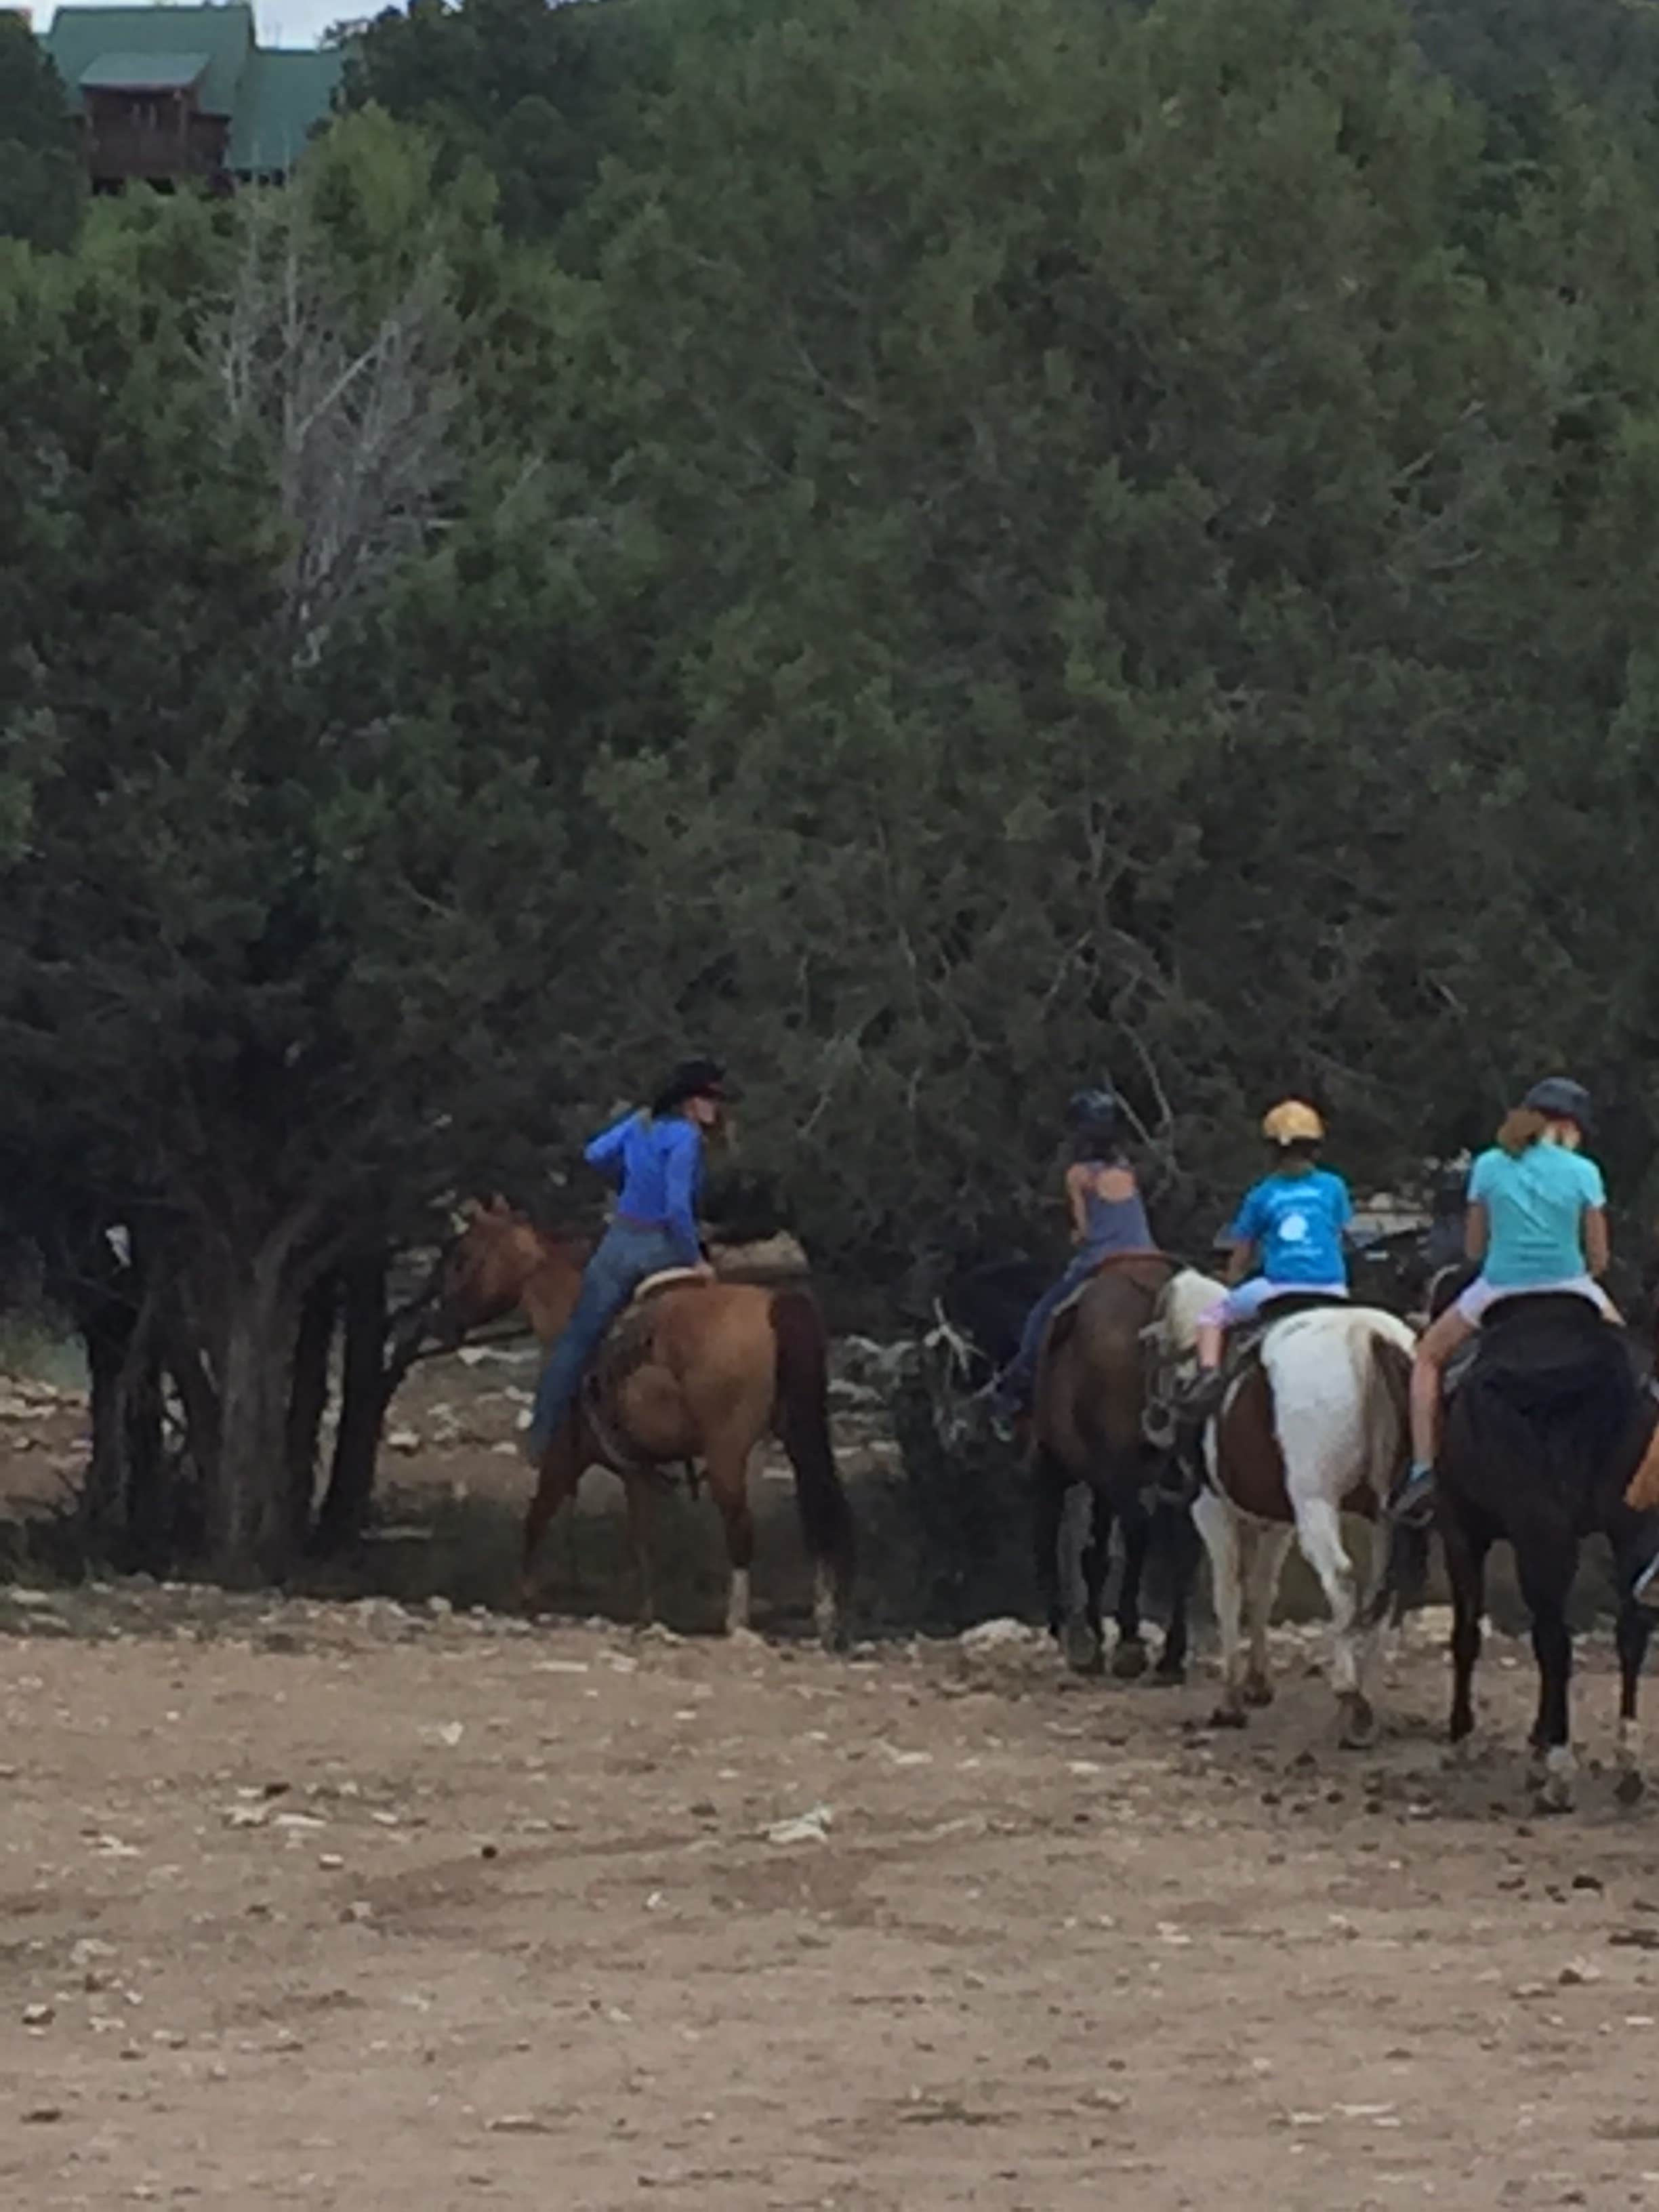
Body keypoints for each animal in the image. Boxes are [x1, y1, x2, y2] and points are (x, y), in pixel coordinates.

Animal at [436, 1200, 856, 1647]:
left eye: (463, 1257)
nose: (444, 1320)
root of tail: (776, 1306)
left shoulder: (564, 1459)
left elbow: (537, 1518)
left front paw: (525, 1597)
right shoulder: (635, 1470)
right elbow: (643, 1540)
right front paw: (647, 1615)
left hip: (727, 1451)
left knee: (741, 1529)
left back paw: (737, 1622)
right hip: (798, 1437)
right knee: (819, 1510)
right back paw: (826, 1617)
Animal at [1155, 1278, 1415, 1747]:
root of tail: (1368, 1334)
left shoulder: (1211, 1510)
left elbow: (1227, 1593)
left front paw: (1231, 1701)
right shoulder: (1278, 1523)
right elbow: (1263, 1590)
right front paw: (1258, 1684)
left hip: (1316, 1503)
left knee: (1342, 1580)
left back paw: (1349, 1690)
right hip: (1388, 1515)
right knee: (1384, 1593)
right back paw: (1365, 1697)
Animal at [1381, 1291, 1657, 1812]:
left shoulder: (1462, 1534)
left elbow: (1467, 1635)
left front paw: (1463, 1736)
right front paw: (1536, 1741)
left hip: (1539, 1532)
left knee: (1556, 1643)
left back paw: (1560, 1773)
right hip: (1632, 1526)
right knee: (1629, 1632)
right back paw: (1627, 1763)